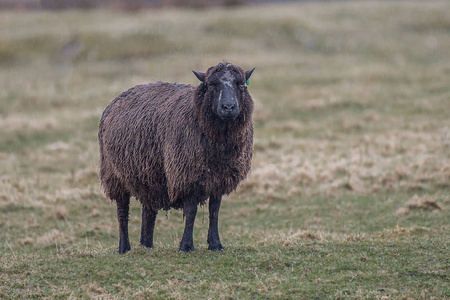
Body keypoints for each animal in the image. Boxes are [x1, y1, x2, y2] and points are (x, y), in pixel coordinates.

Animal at [98, 61, 255, 253]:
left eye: (241, 83)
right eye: (211, 84)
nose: (228, 107)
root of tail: (117, 98)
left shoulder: (219, 178)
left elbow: (214, 211)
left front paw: (215, 244)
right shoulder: (187, 175)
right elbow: (191, 211)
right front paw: (186, 246)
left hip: (149, 175)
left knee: (148, 211)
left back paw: (147, 245)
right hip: (114, 174)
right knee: (122, 210)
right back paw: (124, 248)